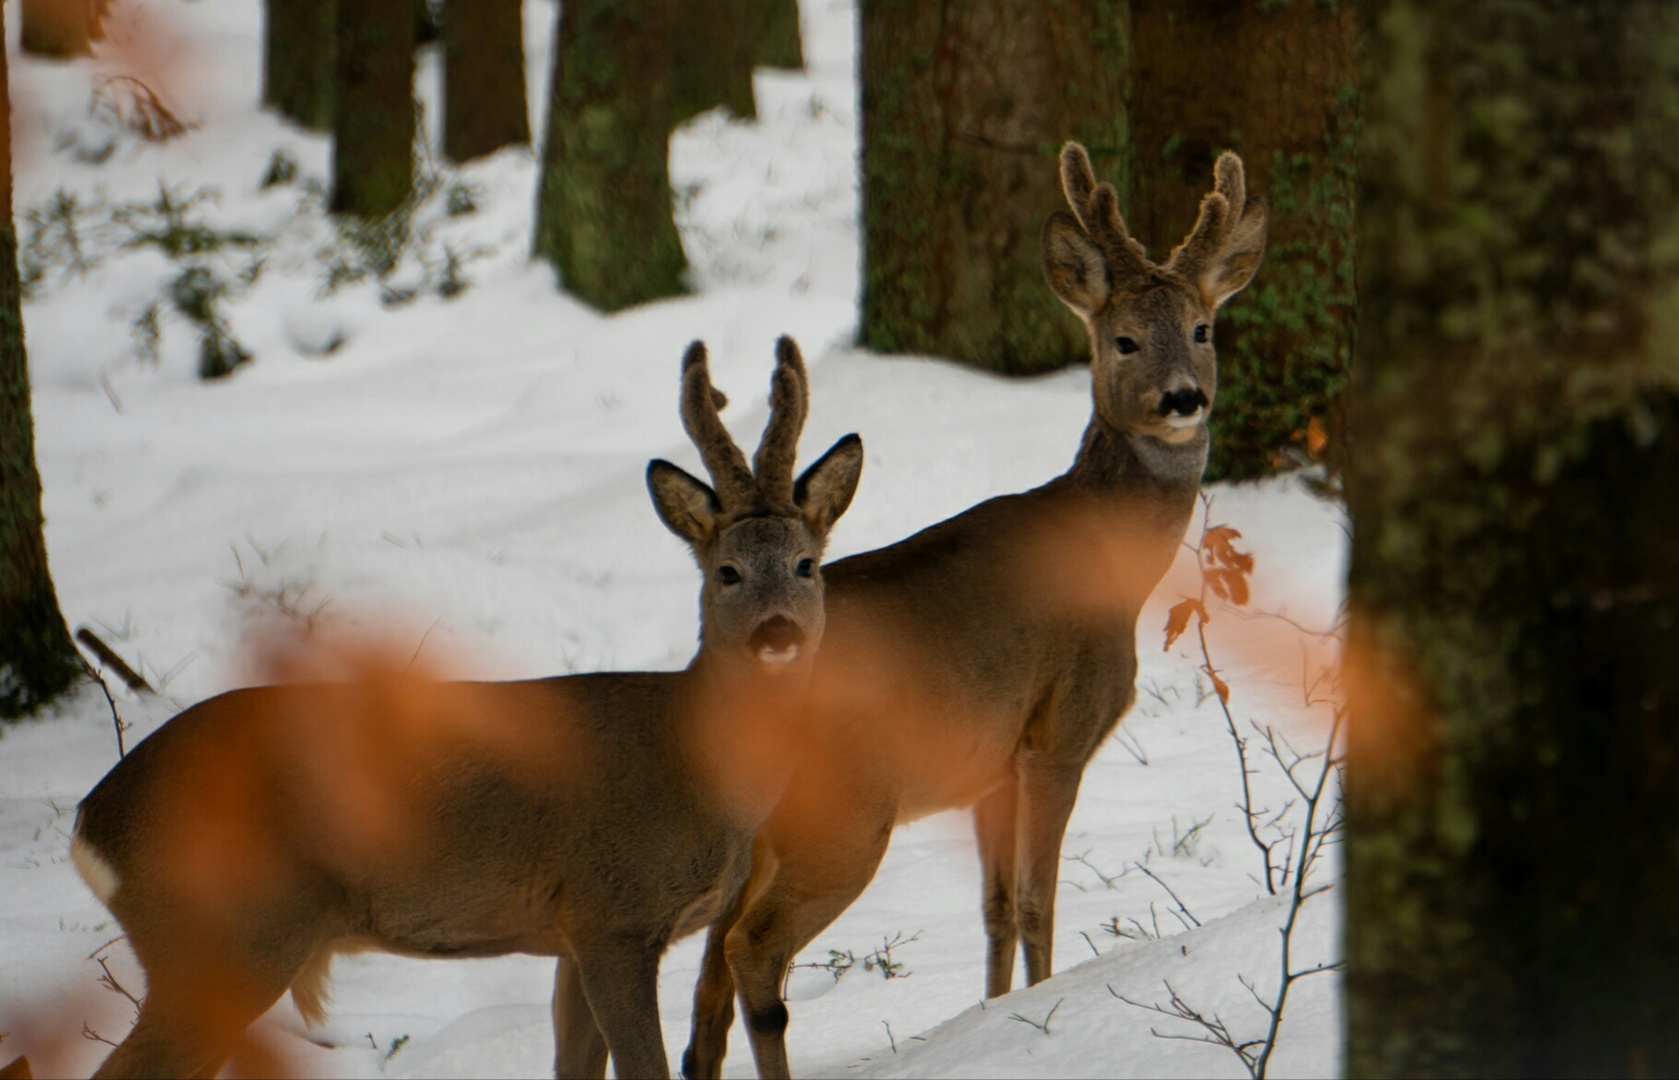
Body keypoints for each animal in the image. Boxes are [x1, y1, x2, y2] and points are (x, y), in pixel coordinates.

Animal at [70, 337, 859, 1080]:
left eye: (805, 565)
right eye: (727, 572)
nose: (777, 634)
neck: (694, 761)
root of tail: (91, 824)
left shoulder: (569, 933)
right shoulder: (615, 912)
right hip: (233, 935)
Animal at [678, 143, 1262, 1080]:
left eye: (1203, 329)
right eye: (1123, 338)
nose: (1182, 399)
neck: (1107, 563)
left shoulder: (988, 764)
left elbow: (991, 911)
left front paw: (990, 1018)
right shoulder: (1059, 731)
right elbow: (1034, 905)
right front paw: (1046, 1013)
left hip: (754, 837)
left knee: (706, 970)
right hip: (843, 816)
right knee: (751, 950)